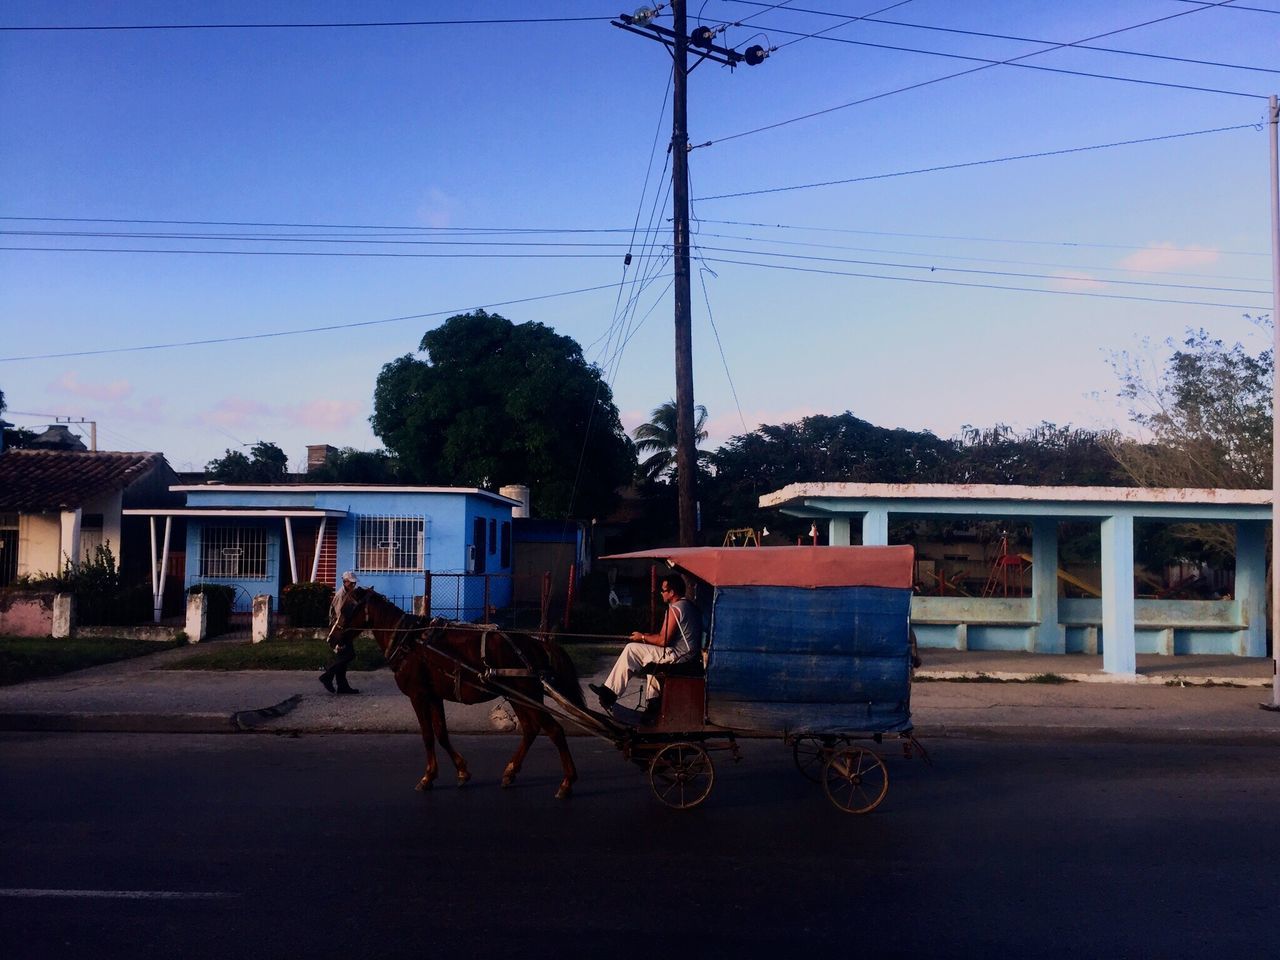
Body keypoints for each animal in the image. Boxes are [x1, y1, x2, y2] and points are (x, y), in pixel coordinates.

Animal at [332, 591, 586, 798]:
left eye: (346, 608)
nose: (332, 638)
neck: (409, 641)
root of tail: (536, 644)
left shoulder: (418, 695)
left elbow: (427, 736)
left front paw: (427, 778)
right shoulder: (434, 696)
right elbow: (442, 734)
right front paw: (461, 771)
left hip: (527, 695)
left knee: (555, 730)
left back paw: (567, 782)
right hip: (518, 697)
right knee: (531, 729)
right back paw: (511, 772)